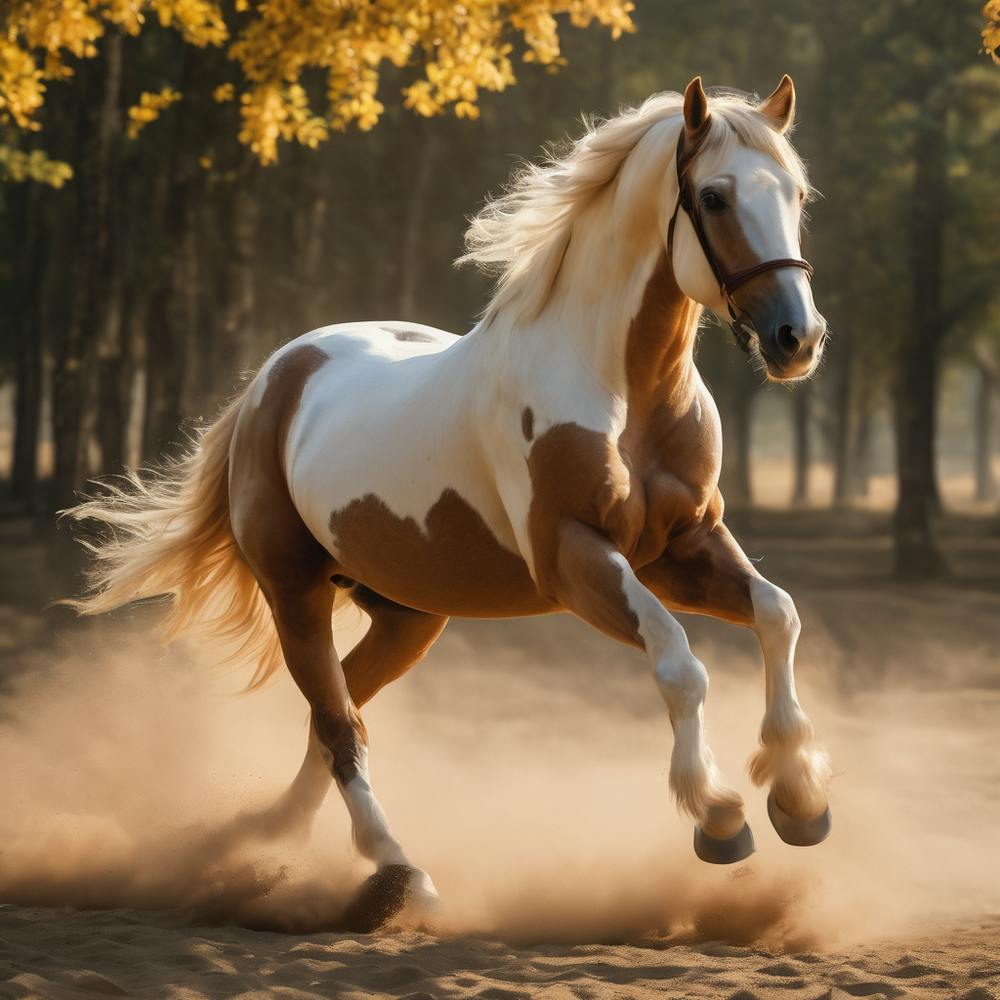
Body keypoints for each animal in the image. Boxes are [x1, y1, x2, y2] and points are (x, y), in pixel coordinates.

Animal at [68, 75, 832, 924]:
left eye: (796, 192)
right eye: (715, 196)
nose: (797, 338)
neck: (622, 392)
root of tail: (274, 378)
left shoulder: (684, 546)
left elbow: (778, 614)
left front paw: (799, 799)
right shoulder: (574, 559)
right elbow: (679, 660)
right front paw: (720, 815)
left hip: (408, 617)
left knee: (335, 715)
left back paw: (263, 841)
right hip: (295, 593)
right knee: (338, 725)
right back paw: (399, 874)